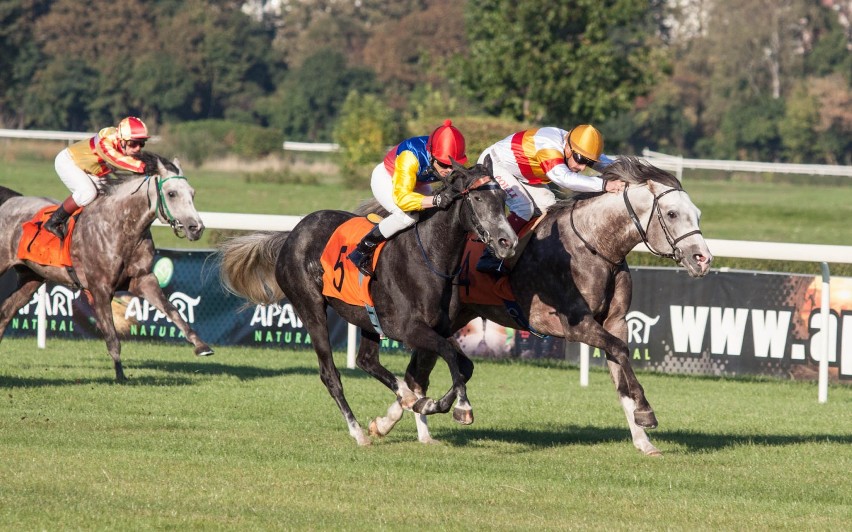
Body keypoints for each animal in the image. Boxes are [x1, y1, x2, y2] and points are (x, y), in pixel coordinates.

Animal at [0, 152, 212, 380]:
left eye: (192, 193)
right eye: (171, 193)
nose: (196, 228)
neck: (121, 227)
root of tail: (9, 200)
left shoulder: (144, 279)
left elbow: (173, 310)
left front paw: (201, 346)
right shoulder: (99, 288)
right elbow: (111, 336)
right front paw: (120, 375)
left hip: (32, 277)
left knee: (5, 311)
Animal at [370, 156, 716, 456]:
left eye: (698, 214)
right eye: (672, 214)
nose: (703, 259)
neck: (594, 245)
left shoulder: (615, 321)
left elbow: (620, 370)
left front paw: (643, 439)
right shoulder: (575, 324)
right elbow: (619, 351)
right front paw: (646, 412)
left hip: (449, 319)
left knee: (417, 373)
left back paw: (391, 420)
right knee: (419, 371)